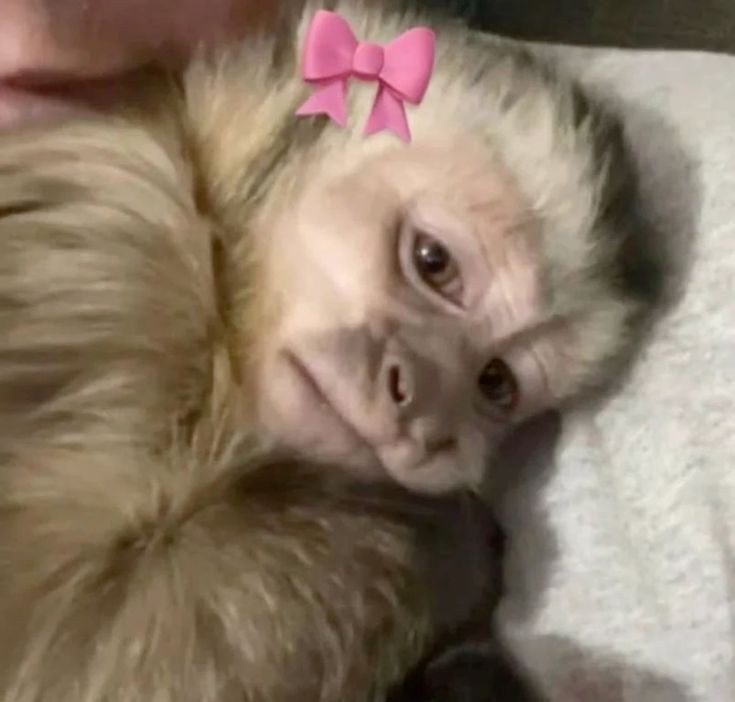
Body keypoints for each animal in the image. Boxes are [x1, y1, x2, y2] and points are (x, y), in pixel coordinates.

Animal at [0, 1, 662, 700]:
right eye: (434, 262)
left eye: (494, 383)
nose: (422, 410)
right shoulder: (127, 245)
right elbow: (73, 646)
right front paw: (451, 539)